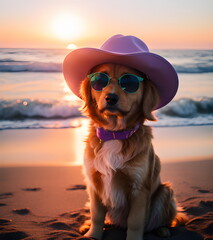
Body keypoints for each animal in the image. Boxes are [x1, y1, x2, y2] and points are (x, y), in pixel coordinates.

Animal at [80, 63, 176, 240]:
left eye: (129, 82)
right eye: (99, 80)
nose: (110, 98)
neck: (114, 134)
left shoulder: (139, 189)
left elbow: (135, 221)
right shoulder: (94, 183)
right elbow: (96, 214)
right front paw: (93, 234)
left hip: (165, 191)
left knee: (163, 221)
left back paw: (162, 230)